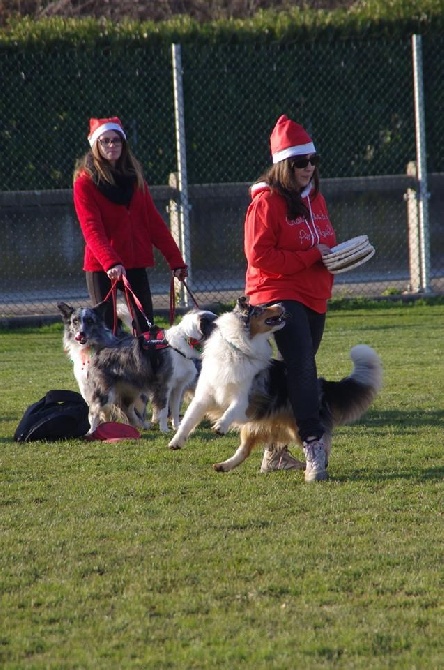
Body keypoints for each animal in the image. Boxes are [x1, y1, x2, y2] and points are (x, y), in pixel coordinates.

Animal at [58, 304, 218, 436]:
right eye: (216, 323)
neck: (185, 341)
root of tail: (99, 350)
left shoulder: (178, 388)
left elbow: (174, 409)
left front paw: (177, 428)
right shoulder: (163, 386)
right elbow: (163, 410)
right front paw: (164, 429)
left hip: (130, 390)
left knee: (126, 408)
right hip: (105, 391)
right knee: (94, 411)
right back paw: (92, 432)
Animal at [167, 296, 288, 448]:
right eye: (260, 309)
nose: (281, 303)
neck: (236, 350)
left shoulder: (244, 398)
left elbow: (232, 409)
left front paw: (221, 426)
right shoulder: (203, 396)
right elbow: (188, 419)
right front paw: (176, 441)